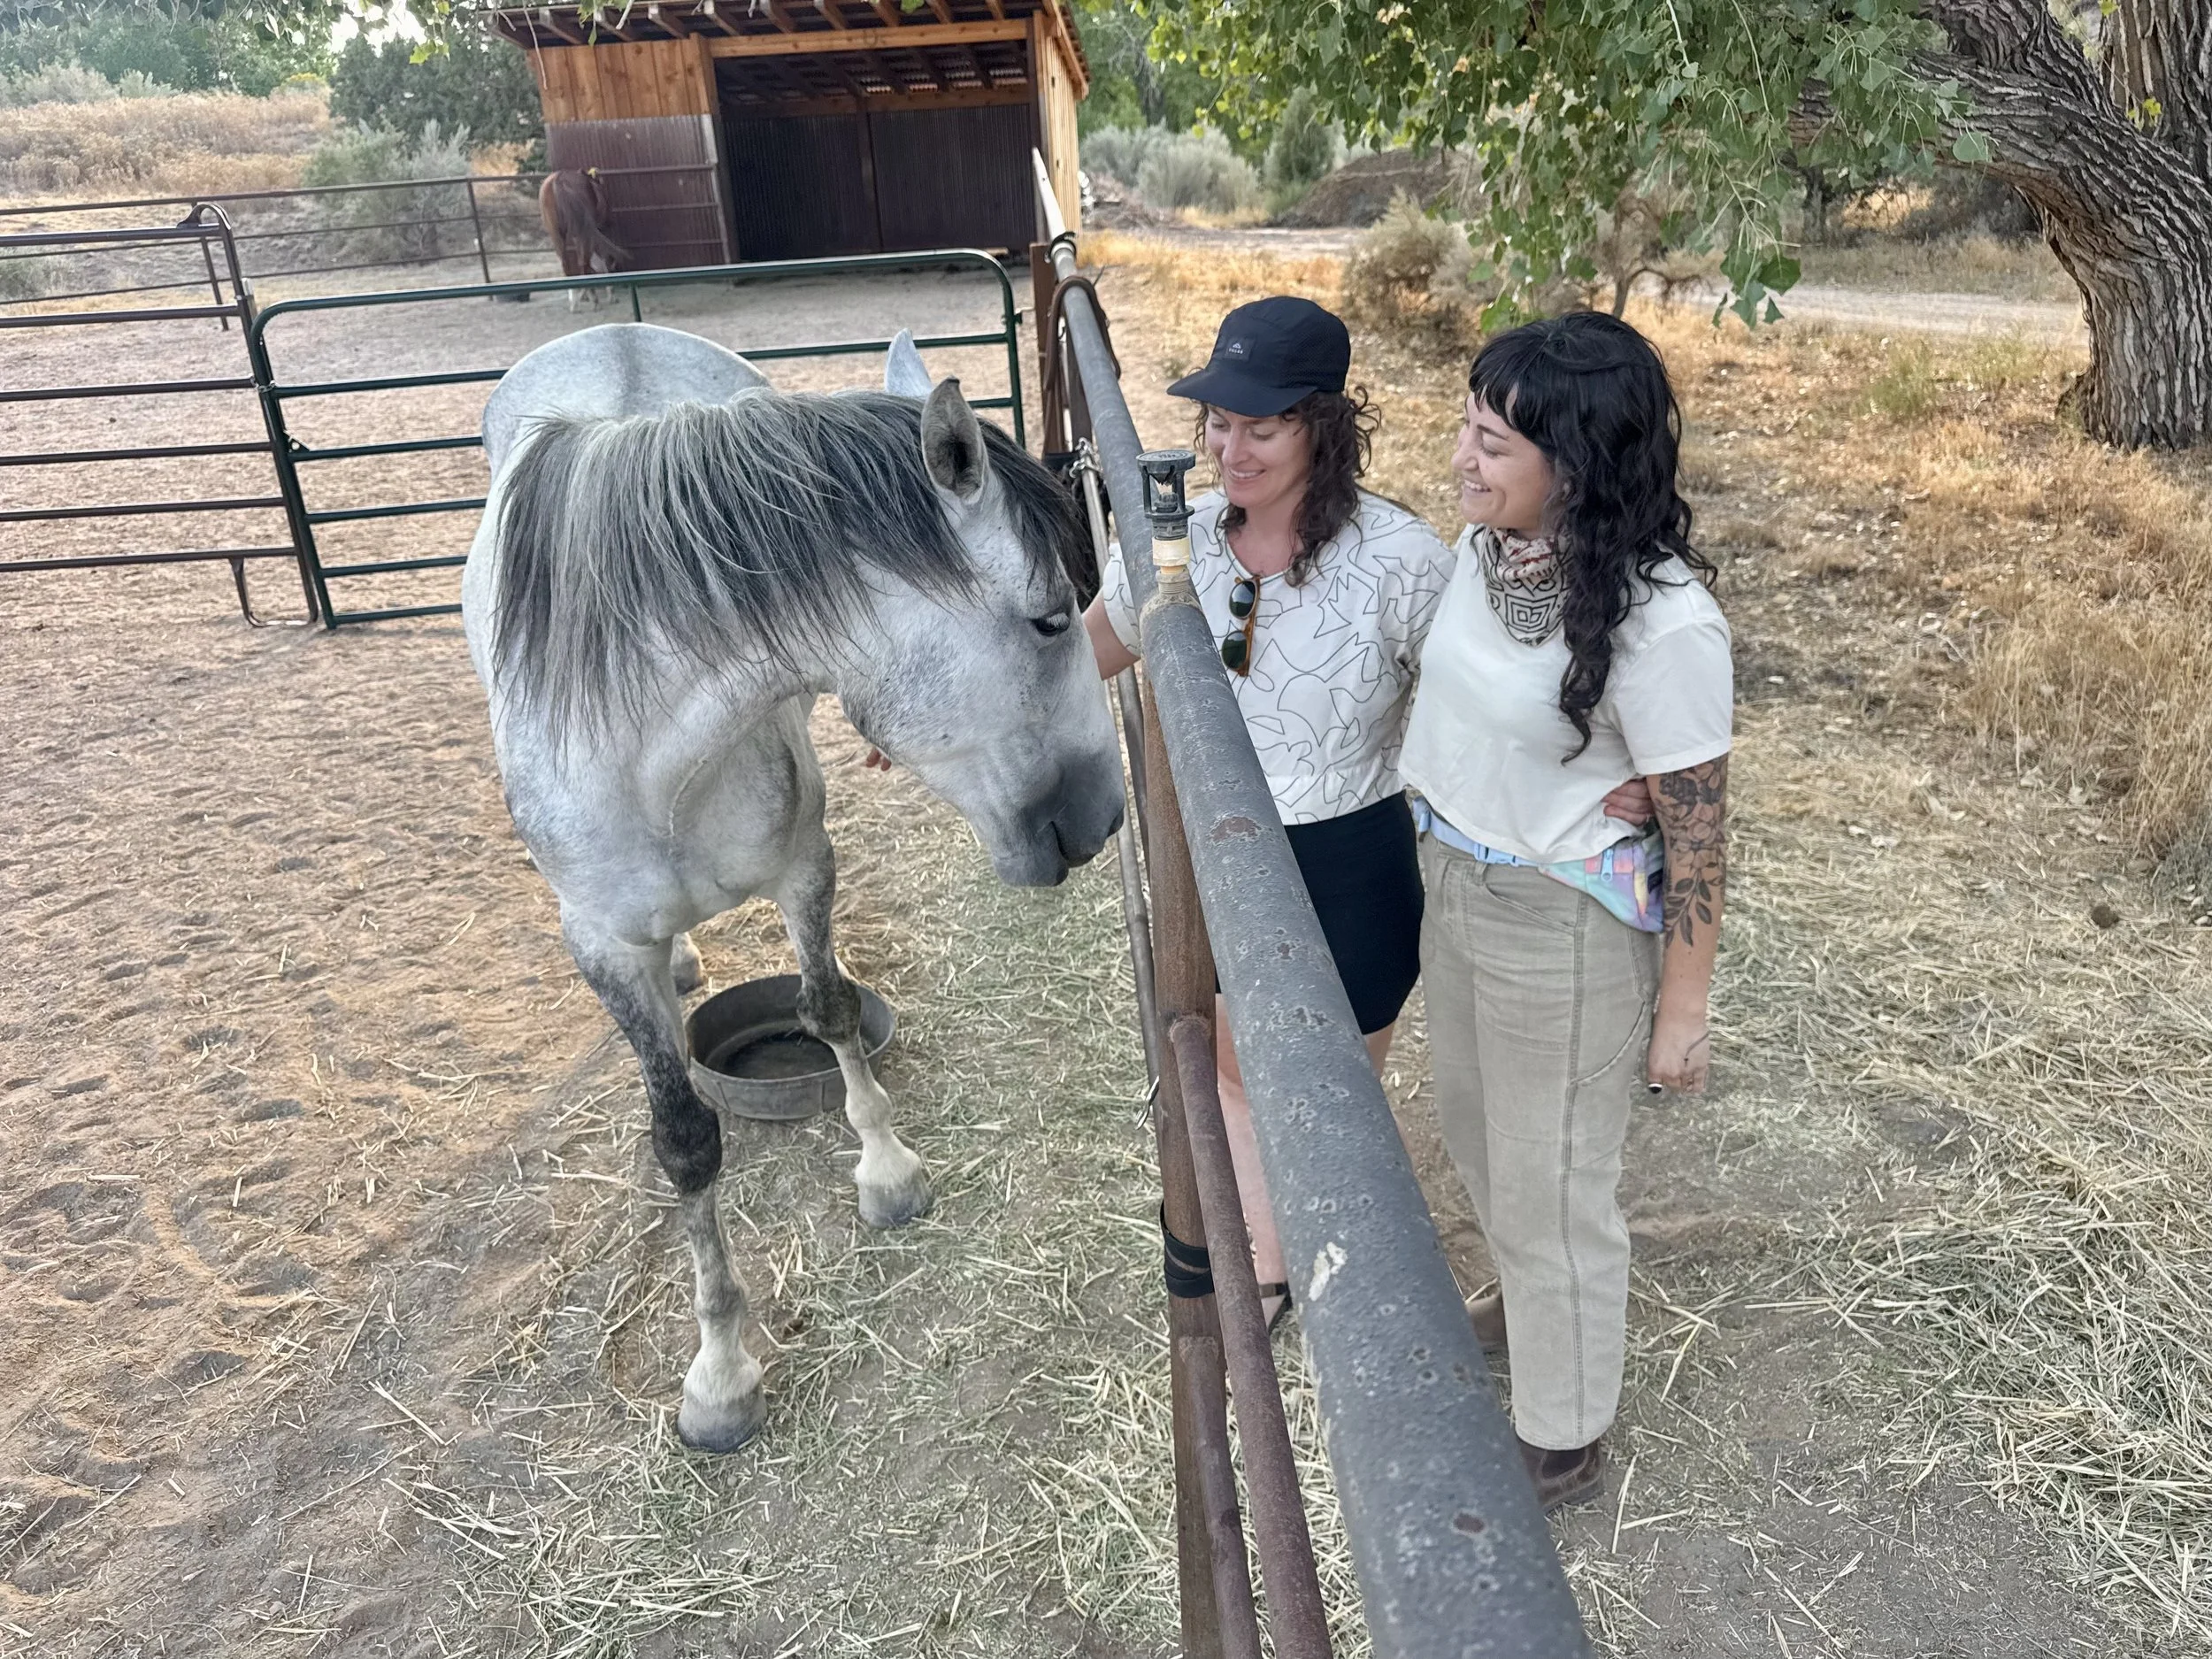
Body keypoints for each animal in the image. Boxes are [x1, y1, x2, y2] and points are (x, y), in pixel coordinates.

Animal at [460, 322, 1122, 1451]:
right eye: (1045, 621)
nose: (1109, 814)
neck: (659, 761)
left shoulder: (806, 865)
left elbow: (830, 1007)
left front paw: (889, 1172)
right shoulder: (602, 947)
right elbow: (685, 1141)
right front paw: (720, 1377)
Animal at [537, 169, 627, 309]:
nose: (610, 222)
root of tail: (558, 180)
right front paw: (609, 294)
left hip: (557, 235)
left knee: (567, 265)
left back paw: (574, 302)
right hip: (581, 234)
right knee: (584, 263)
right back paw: (594, 300)